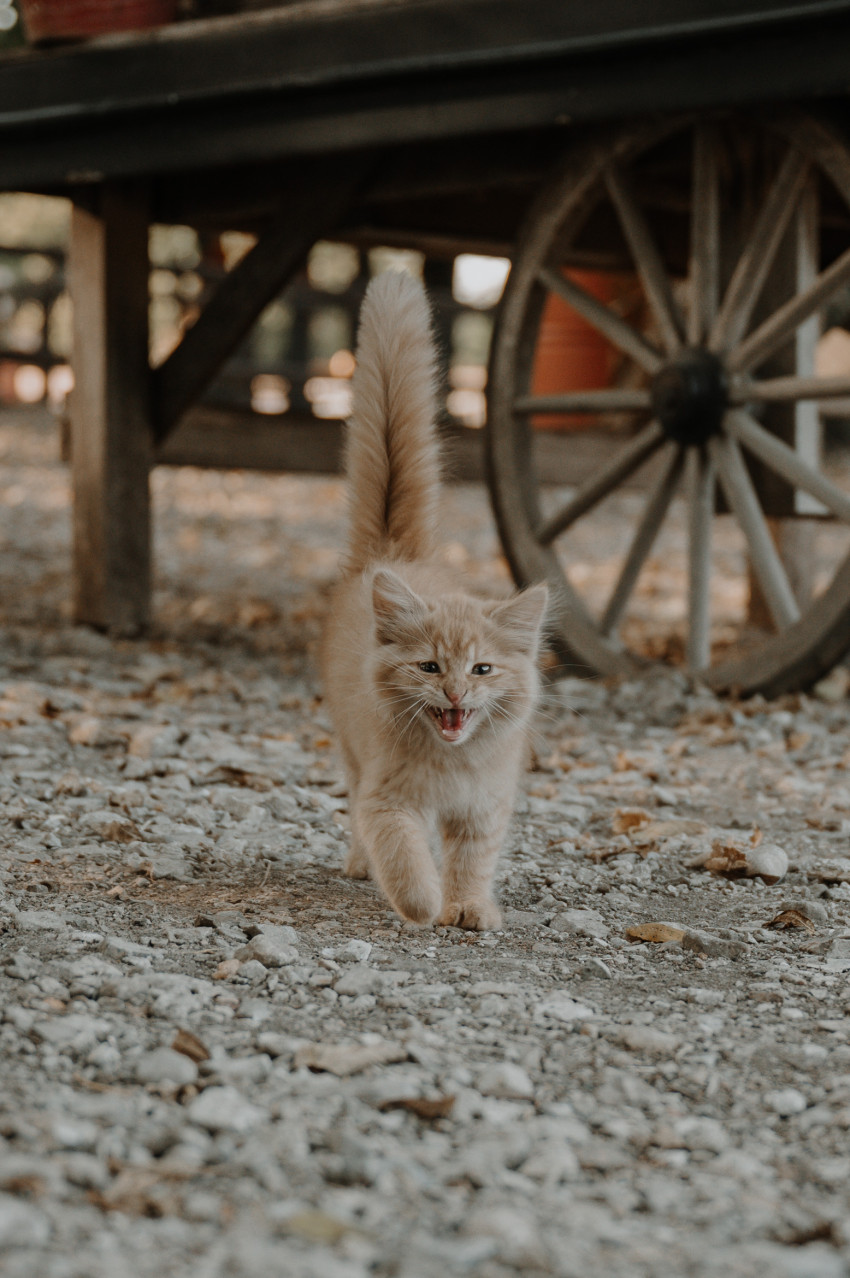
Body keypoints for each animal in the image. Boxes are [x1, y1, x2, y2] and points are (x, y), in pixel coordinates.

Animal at [318, 269, 544, 930]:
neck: (452, 766)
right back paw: (360, 867)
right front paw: (422, 903)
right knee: (359, 820)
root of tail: (394, 553)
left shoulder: (482, 810)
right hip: (351, 753)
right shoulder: (389, 800)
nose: (456, 695)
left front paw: (468, 908)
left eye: (482, 669)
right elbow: (402, 853)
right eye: (430, 667)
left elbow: (471, 862)